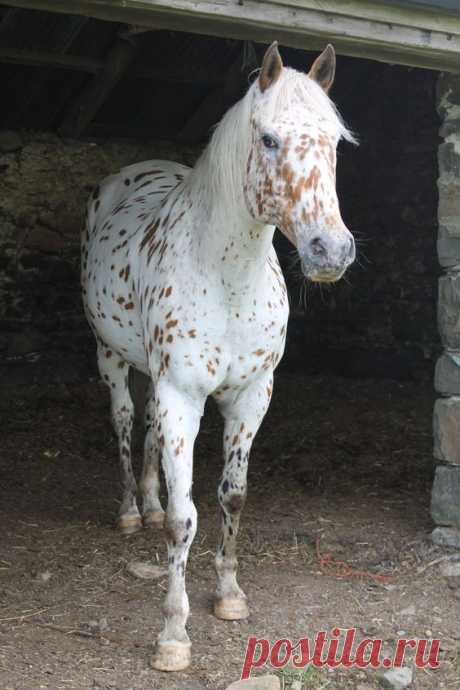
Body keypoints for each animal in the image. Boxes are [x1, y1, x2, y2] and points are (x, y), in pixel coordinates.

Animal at [82, 41, 356, 668]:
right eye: (269, 139)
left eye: (334, 141)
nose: (330, 250)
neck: (229, 276)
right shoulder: (182, 395)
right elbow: (186, 520)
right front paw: (173, 634)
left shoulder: (251, 396)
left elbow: (232, 497)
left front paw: (229, 594)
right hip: (112, 357)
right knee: (126, 421)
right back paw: (132, 511)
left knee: (150, 433)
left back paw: (150, 503)